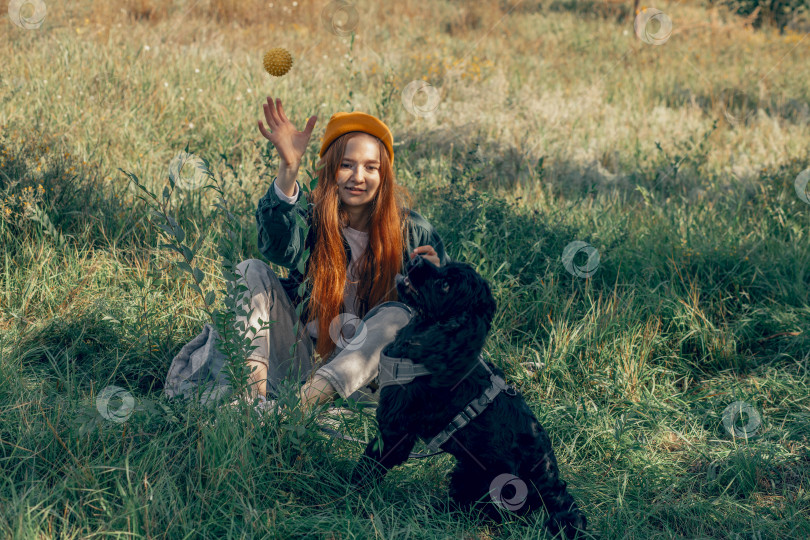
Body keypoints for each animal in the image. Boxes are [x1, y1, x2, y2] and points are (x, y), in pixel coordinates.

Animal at [348, 255, 588, 536]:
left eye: (445, 285)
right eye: (445, 266)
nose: (417, 258)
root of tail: (550, 483)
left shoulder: (396, 431)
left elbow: (370, 463)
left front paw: (347, 491)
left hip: (484, 480)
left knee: (479, 512)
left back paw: (432, 513)